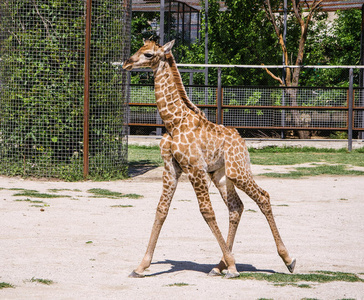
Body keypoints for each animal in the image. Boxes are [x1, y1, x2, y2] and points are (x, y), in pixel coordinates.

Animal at [122, 39, 296, 278]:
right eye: (139, 49)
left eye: (148, 54)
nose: (127, 63)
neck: (173, 122)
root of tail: (242, 141)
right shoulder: (171, 168)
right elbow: (161, 210)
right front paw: (141, 266)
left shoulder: (195, 168)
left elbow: (207, 212)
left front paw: (233, 265)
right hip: (220, 175)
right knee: (236, 207)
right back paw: (220, 265)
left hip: (237, 170)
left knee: (263, 197)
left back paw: (287, 260)